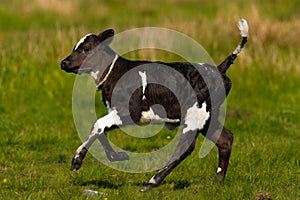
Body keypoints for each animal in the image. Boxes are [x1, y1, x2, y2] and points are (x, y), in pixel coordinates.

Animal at [60, 19, 248, 192]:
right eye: (74, 47)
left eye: (86, 49)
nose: (63, 63)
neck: (115, 74)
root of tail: (218, 68)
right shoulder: (116, 112)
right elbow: (99, 130)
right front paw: (115, 156)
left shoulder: (130, 112)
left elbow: (97, 124)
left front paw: (77, 160)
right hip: (208, 118)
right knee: (225, 138)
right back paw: (219, 181)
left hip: (196, 116)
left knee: (186, 148)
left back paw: (151, 182)